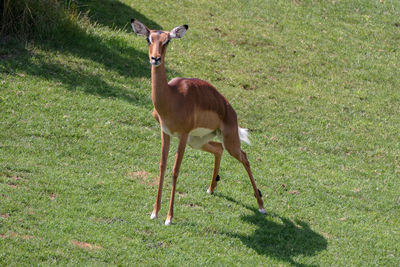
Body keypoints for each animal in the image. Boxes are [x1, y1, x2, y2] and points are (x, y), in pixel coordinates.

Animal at [130, 18, 266, 226]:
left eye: (167, 41)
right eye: (148, 39)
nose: (155, 58)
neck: (172, 98)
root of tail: (229, 109)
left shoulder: (182, 136)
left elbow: (175, 171)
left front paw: (169, 218)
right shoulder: (165, 132)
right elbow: (162, 167)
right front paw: (154, 212)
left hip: (228, 141)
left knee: (244, 156)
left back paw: (261, 205)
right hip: (199, 141)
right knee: (218, 149)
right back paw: (211, 189)